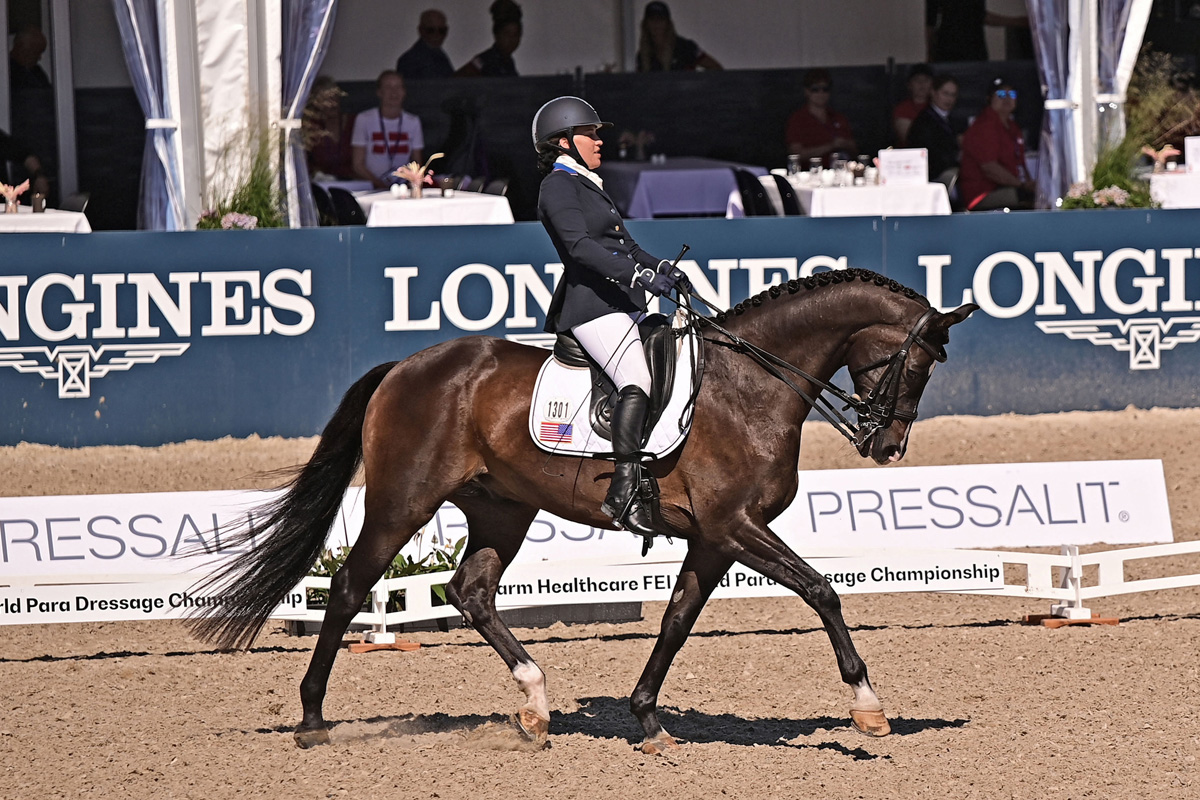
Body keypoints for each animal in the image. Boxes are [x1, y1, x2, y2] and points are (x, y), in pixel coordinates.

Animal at [187, 272, 974, 753]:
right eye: (917, 364)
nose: (886, 446)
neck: (752, 384)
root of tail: (404, 368)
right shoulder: (736, 526)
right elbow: (821, 590)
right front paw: (868, 707)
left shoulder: (714, 539)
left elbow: (677, 622)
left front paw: (648, 719)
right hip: (402, 500)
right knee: (351, 588)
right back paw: (313, 718)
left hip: (502, 508)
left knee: (471, 591)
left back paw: (535, 706)